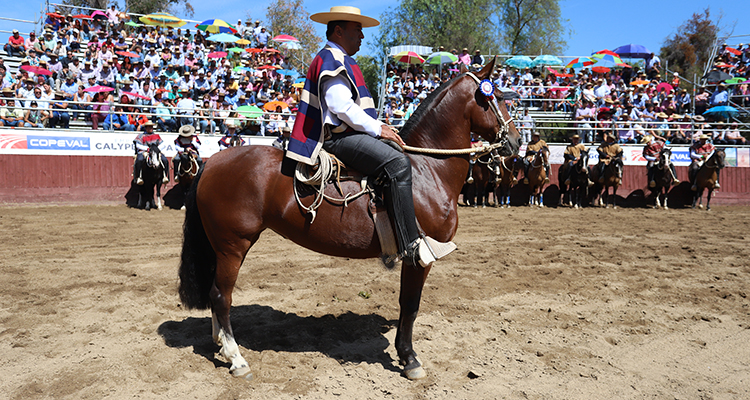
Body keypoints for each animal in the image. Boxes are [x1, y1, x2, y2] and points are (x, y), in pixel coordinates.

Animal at [176, 59, 524, 382]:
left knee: (215, 294)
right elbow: (410, 304)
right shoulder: (419, 256)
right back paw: (236, 358)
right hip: (233, 246)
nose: (516, 141)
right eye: (498, 97)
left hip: (224, 247)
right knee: (221, 296)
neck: (427, 170)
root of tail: (212, 162)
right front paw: (409, 358)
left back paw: (221, 344)